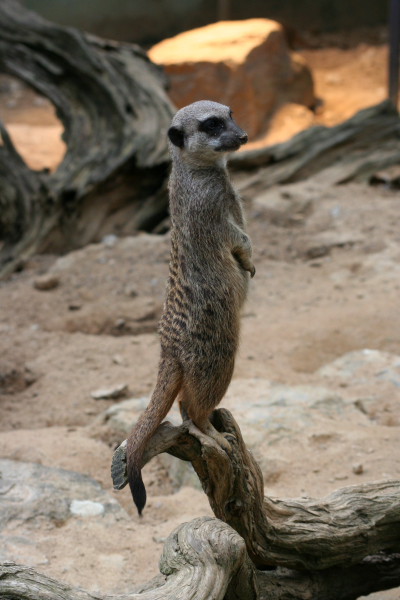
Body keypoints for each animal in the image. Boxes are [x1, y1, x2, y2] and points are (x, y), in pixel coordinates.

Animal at [126, 100, 255, 514]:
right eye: (212, 125)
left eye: (230, 114)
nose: (243, 135)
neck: (201, 172)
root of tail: (169, 346)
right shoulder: (211, 205)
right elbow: (237, 237)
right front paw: (248, 261)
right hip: (214, 347)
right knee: (192, 403)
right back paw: (208, 430)